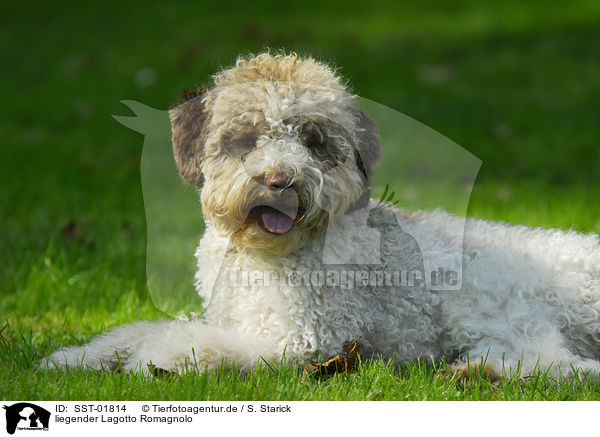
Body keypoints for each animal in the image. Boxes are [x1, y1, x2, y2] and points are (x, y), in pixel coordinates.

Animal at [43, 52, 600, 380]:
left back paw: (479, 373)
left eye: (313, 140)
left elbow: (192, 342)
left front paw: (157, 358)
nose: (280, 181)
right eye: (247, 139)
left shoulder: (301, 340)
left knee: (561, 367)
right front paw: (75, 357)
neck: (264, 258)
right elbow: (136, 330)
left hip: (491, 298)